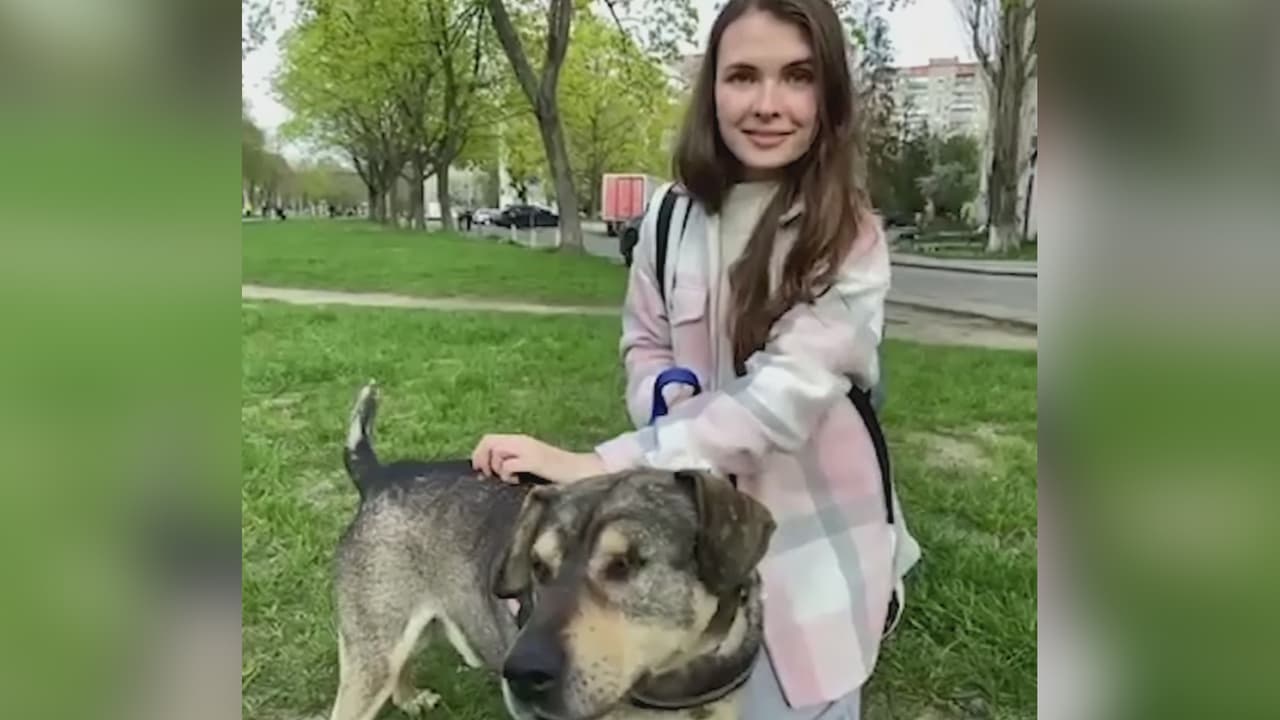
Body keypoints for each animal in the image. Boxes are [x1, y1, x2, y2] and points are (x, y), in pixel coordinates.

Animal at [327, 382, 777, 720]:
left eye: (626, 564)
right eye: (538, 567)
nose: (521, 676)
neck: (675, 682)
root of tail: (378, 475)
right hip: (373, 640)